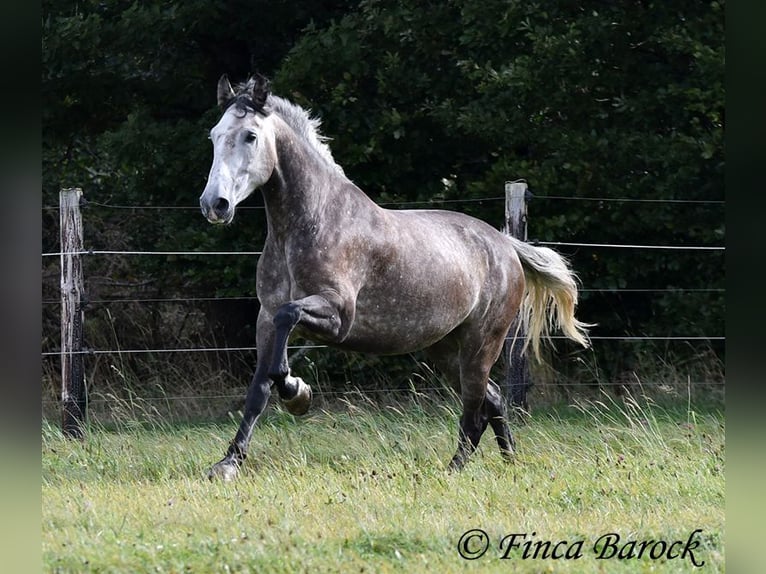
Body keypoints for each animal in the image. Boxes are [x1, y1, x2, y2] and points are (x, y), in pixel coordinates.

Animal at [201, 75, 592, 482]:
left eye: (250, 136)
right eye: (214, 135)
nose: (215, 205)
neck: (312, 222)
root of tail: (506, 244)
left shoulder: (337, 317)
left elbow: (286, 330)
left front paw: (296, 393)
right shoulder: (265, 319)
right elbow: (259, 388)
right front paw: (228, 464)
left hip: (482, 343)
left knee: (474, 412)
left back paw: (453, 470)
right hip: (445, 349)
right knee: (494, 399)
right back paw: (510, 461)